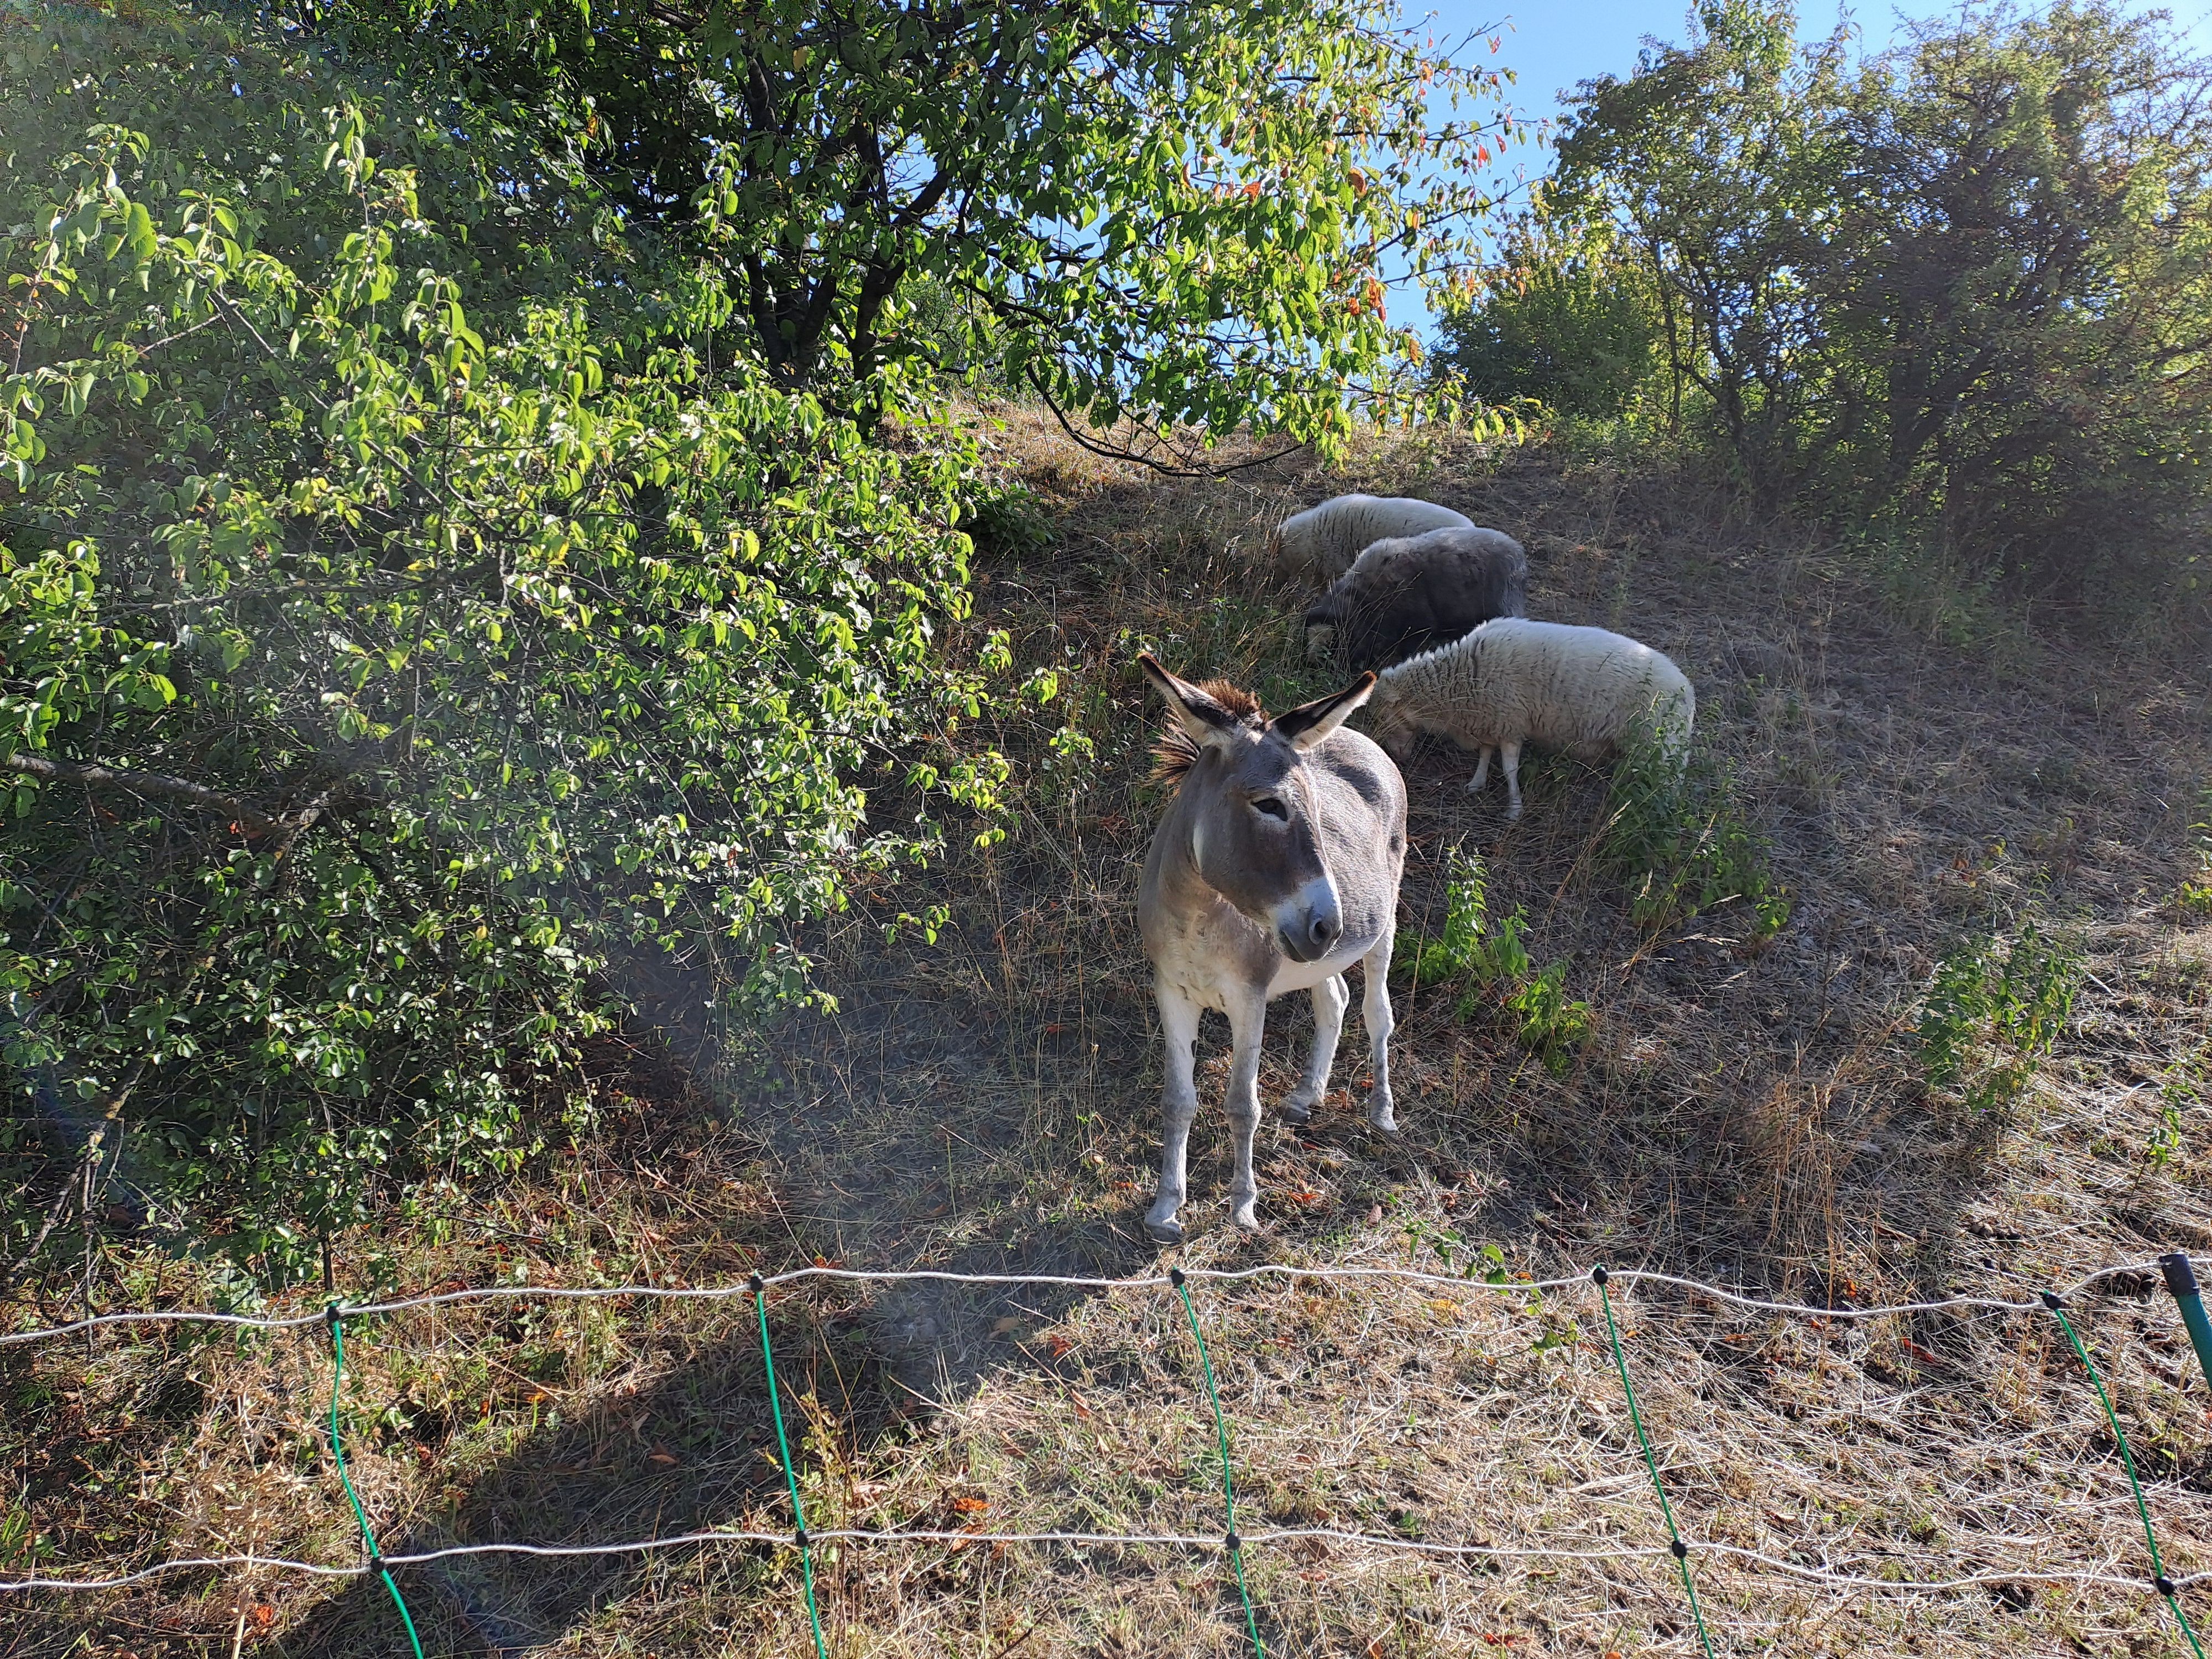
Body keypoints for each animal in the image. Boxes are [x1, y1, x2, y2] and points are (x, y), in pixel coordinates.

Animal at [1362, 618, 1695, 820]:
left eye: (1384, 716)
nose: (1396, 757)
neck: (1460, 677)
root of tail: (1687, 690)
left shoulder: (1510, 723)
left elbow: (1510, 769)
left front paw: (1514, 808)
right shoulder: (1490, 721)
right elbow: (1485, 754)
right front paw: (1477, 783)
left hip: (1660, 749)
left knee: (1668, 787)